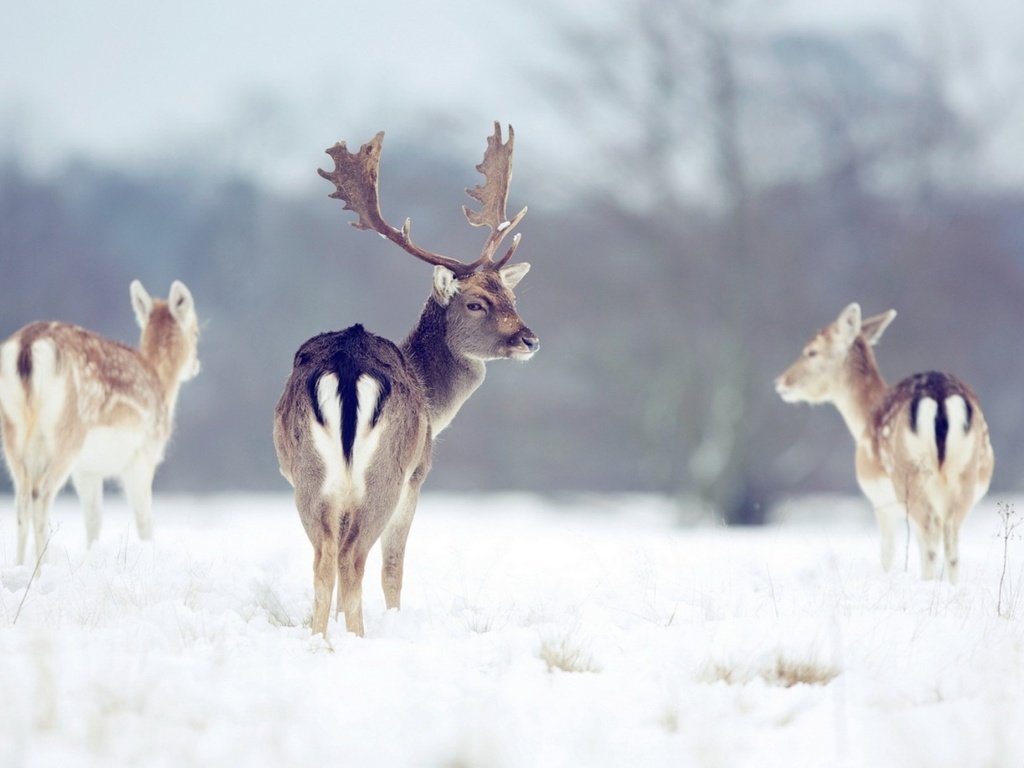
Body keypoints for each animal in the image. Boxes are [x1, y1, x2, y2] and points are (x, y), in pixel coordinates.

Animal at [0, 282, 201, 565]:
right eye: (196, 332)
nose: (196, 365)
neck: (162, 384)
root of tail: (26, 348)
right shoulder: (143, 455)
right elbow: (144, 520)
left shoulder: (88, 470)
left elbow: (94, 520)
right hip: (66, 434)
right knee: (41, 495)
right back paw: (41, 567)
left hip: (12, 432)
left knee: (21, 500)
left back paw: (19, 567)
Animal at [276, 121, 540, 638]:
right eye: (475, 302)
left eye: (511, 296)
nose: (529, 338)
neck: (433, 400)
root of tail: (347, 363)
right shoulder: (418, 476)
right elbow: (394, 567)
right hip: (386, 474)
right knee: (355, 558)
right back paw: (358, 638)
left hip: (308, 476)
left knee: (324, 558)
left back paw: (321, 640)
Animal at [774, 305, 991, 581]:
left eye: (812, 351)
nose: (781, 382)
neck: (863, 418)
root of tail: (940, 398)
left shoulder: (880, 501)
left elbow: (887, 553)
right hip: (965, 473)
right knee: (950, 536)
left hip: (909, 477)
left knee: (931, 532)